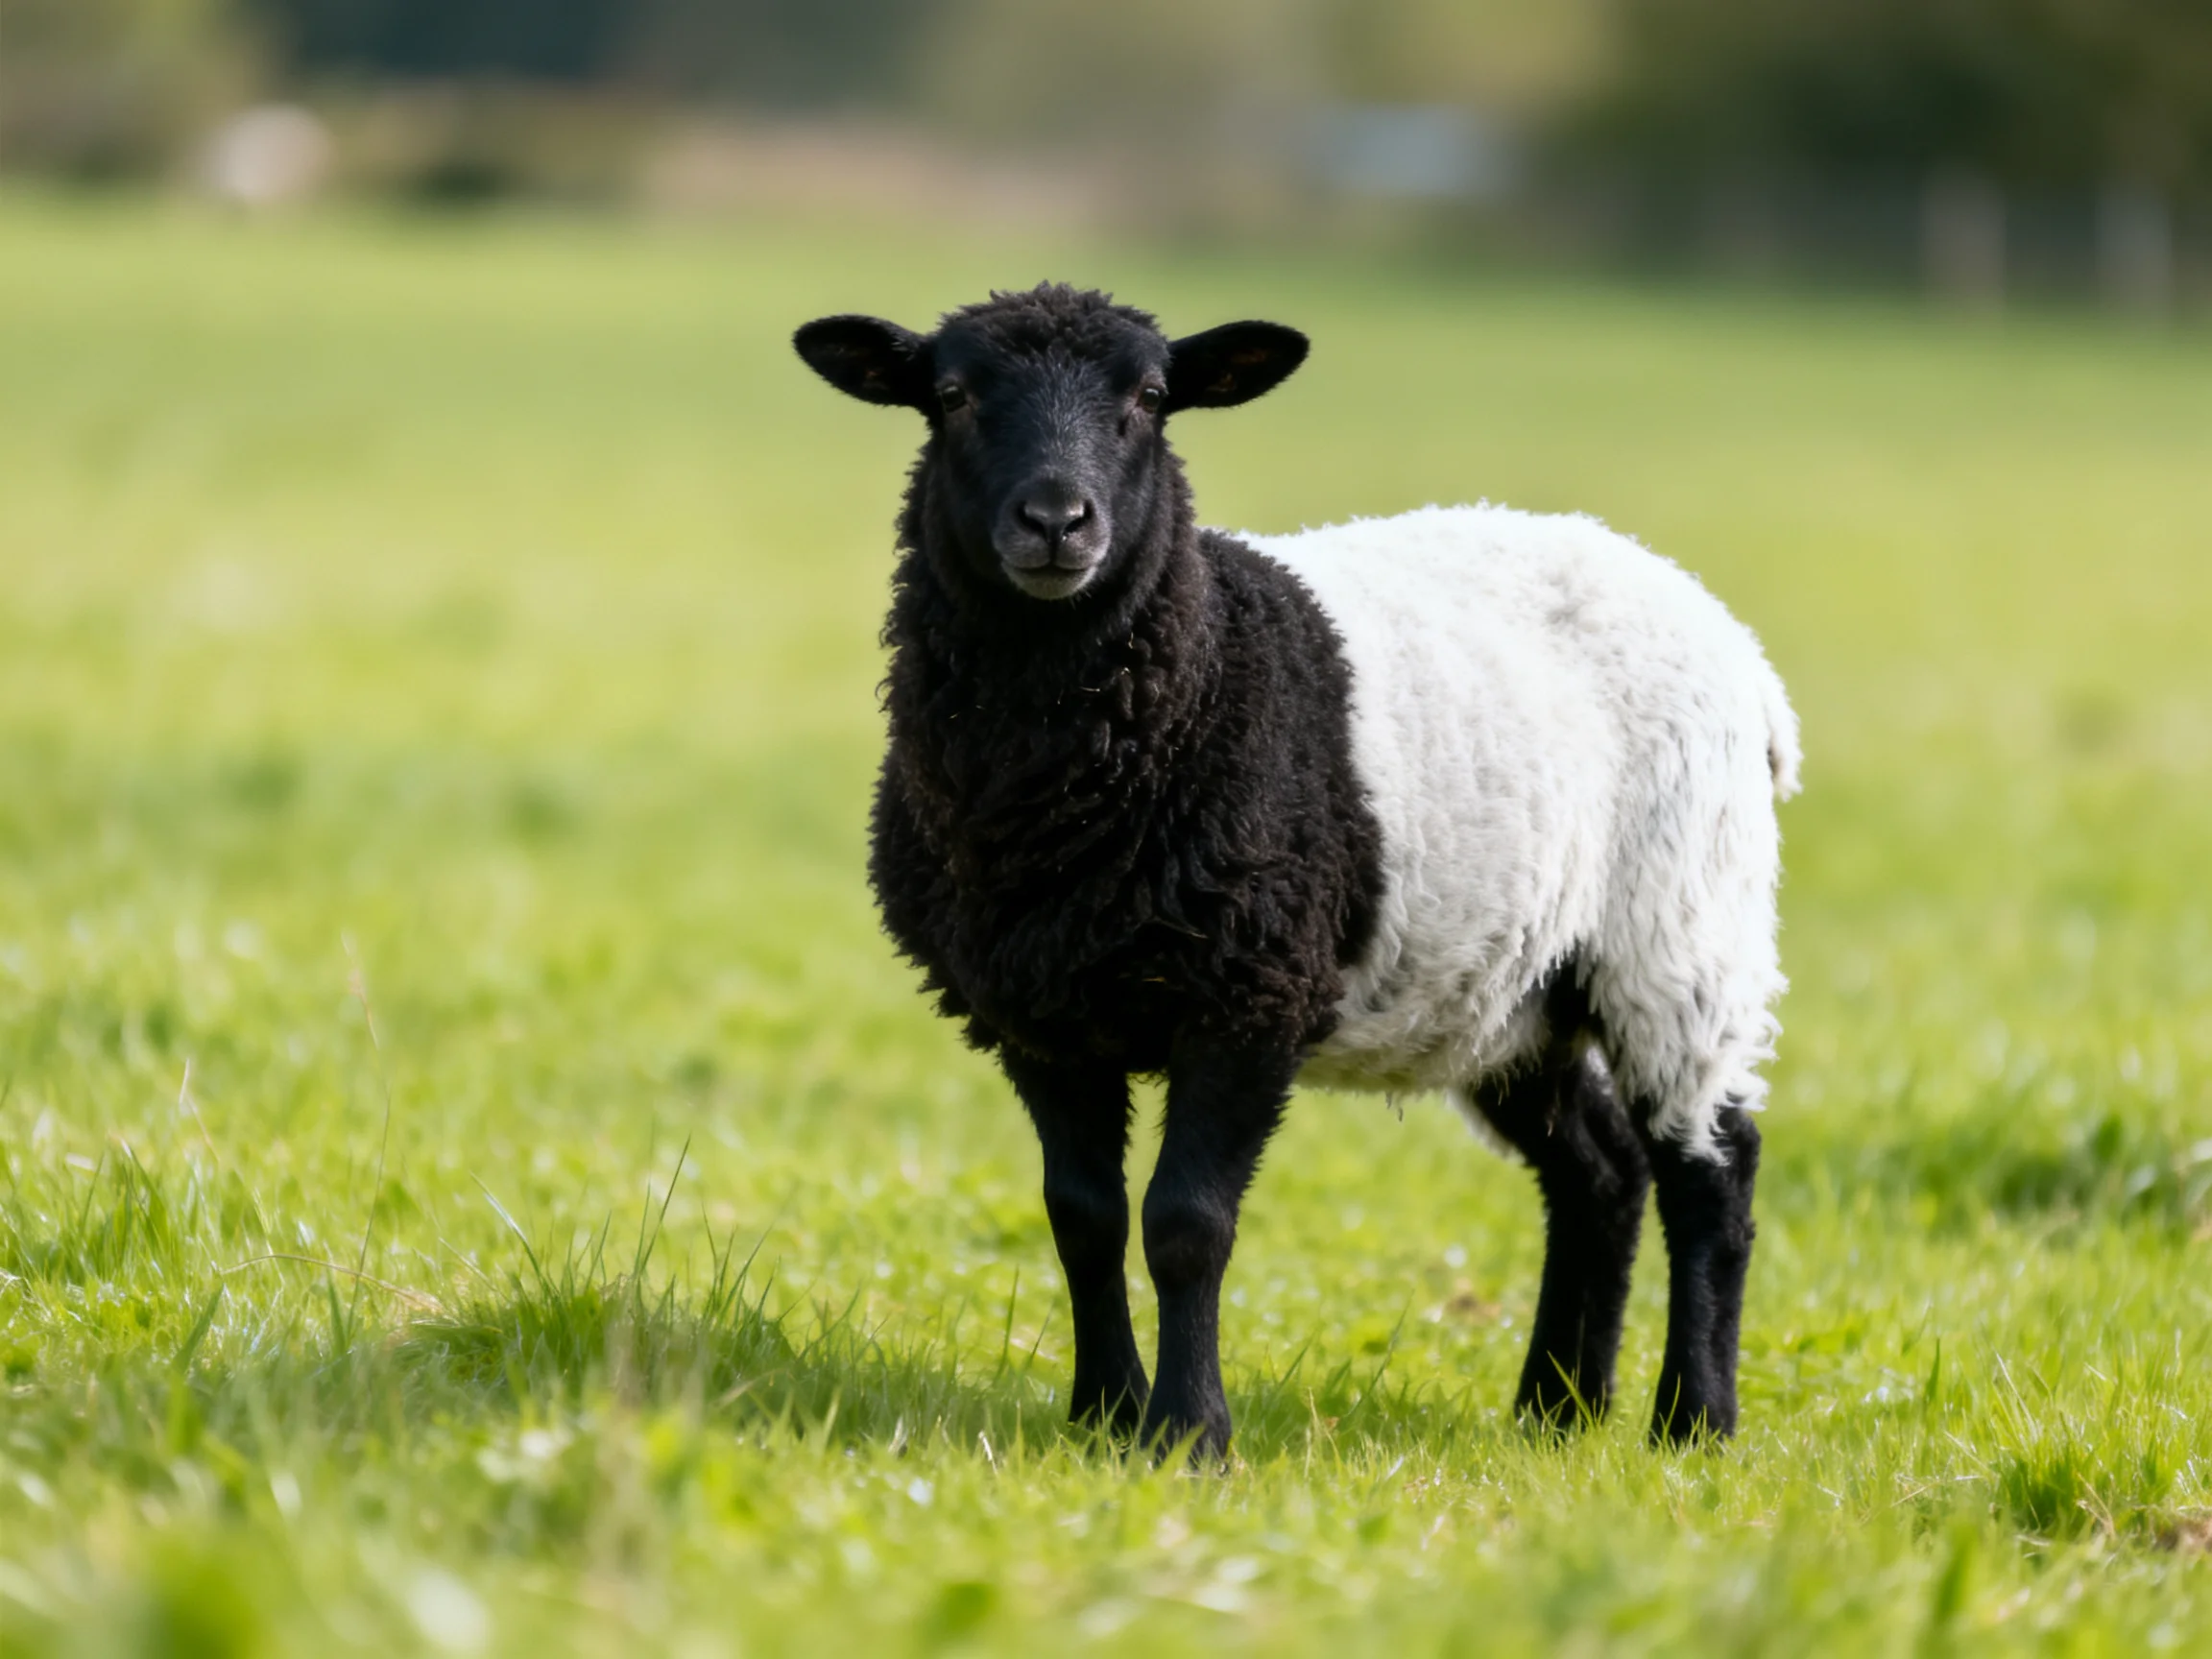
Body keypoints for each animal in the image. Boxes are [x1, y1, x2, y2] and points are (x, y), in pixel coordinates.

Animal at [793, 283, 1799, 1459]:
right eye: (950, 396)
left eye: (1151, 398)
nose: (1055, 522)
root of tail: (1735, 647)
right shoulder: (1041, 1016)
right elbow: (1082, 1218)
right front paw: (1103, 1415)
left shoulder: (1249, 993)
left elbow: (1185, 1225)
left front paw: (1190, 1435)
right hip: (1518, 984)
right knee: (1599, 1171)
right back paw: (1556, 1410)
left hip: (1683, 930)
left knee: (1709, 1171)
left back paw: (1693, 1420)